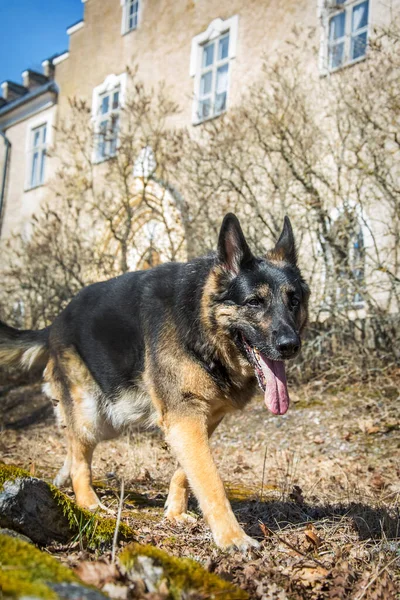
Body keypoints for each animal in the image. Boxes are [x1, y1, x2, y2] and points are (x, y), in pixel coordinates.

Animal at [0, 213, 310, 552]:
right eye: (254, 302)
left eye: (293, 301)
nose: (290, 345)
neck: (199, 321)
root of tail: (55, 321)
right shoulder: (184, 418)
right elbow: (211, 480)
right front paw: (232, 537)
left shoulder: (198, 420)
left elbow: (186, 472)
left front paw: (174, 512)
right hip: (92, 415)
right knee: (80, 459)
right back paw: (89, 504)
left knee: (73, 448)